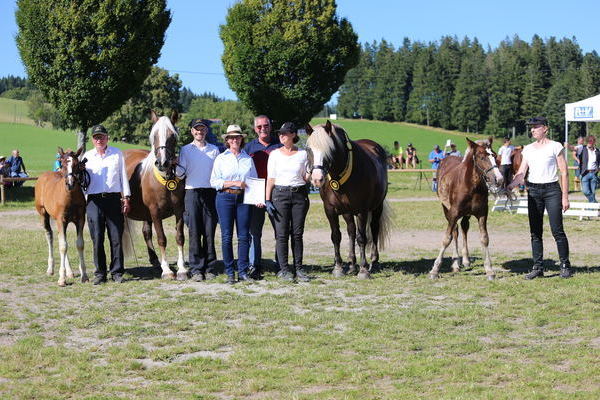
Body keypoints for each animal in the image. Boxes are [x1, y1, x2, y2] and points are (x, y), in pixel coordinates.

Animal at [34, 146, 88, 284]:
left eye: (77, 164)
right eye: (62, 164)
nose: (70, 183)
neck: (70, 197)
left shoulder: (80, 219)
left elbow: (79, 244)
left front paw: (84, 275)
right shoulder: (60, 219)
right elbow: (63, 246)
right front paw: (62, 279)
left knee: (61, 238)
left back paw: (69, 272)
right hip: (43, 214)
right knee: (50, 236)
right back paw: (50, 269)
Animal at [122, 109, 186, 278]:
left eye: (172, 135)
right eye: (154, 135)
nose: (162, 163)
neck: (165, 178)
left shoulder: (179, 210)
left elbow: (180, 237)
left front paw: (182, 269)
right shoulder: (155, 211)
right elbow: (162, 238)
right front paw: (167, 271)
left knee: (146, 232)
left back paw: (155, 261)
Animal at [304, 120, 394, 280]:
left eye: (330, 149)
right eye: (308, 149)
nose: (317, 179)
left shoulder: (362, 211)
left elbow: (362, 238)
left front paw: (363, 270)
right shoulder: (330, 210)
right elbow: (336, 236)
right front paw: (338, 267)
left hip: (377, 207)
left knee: (374, 229)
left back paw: (374, 262)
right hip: (347, 211)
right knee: (351, 231)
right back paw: (352, 264)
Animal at [428, 138, 504, 282]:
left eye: (495, 156)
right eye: (481, 157)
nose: (499, 179)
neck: (472, 186)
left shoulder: (482, 214)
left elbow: (484, 238)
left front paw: (489, 270)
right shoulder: (453, 213)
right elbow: (447, 238)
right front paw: (434, 270)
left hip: (466, 214)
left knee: (463, 228)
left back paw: (465, 260)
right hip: (446, 210)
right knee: (455, 231)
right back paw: (455, 263)